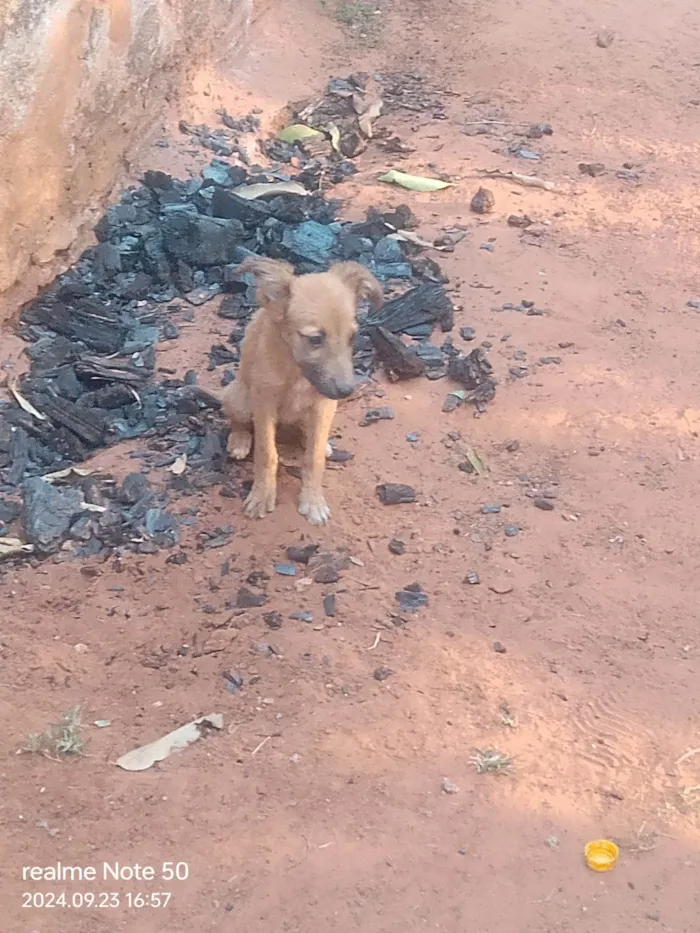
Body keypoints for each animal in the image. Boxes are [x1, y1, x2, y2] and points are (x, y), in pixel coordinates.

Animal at [221, 256, 382, 524]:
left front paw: (313, 500)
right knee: (237, 419)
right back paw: (240, 440)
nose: (347, 390)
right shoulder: (264, 403)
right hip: (240, 398)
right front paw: (262, 495)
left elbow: (313, 458)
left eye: (352, 337)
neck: (297, 372)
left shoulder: (324, 404)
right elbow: (266, 452)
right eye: (315, 339)